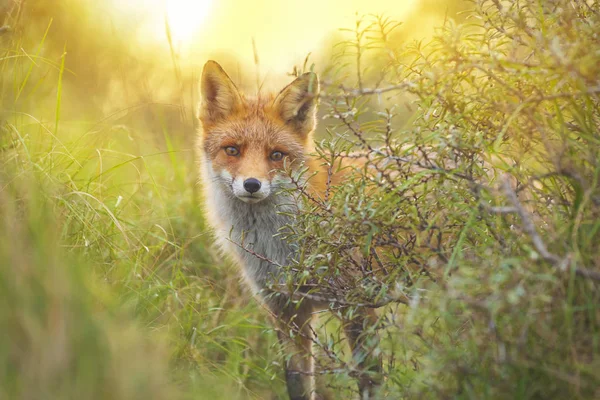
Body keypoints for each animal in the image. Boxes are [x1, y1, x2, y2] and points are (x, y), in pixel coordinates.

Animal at [199, 60, 382, 400]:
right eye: (233, 150)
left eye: (276, 155)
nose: (252, 184)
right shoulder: (286, 310)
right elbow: (297, 383)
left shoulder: (359, 307)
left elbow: (371, 383)